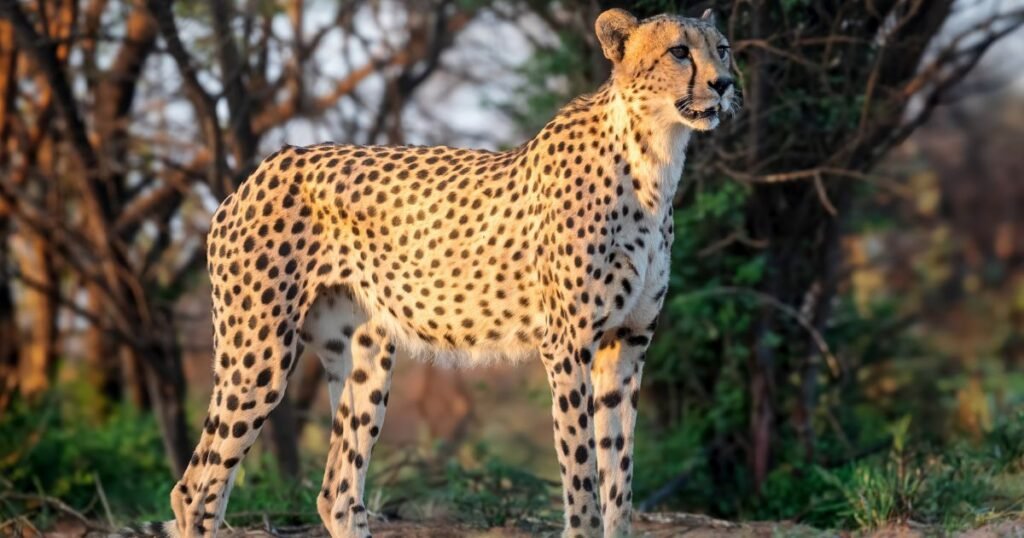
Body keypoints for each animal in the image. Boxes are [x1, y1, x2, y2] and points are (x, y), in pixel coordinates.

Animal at [133, 8, 737, 538]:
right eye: (679, 51)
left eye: (723, 48)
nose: (726, 84)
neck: (654, 158)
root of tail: (264, 166)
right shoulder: (567, 344)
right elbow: (583, 473)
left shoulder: (627, 344)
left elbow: (619, 477)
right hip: (258, 354)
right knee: (196, 489)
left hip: (366, 357)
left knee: (337, 493)